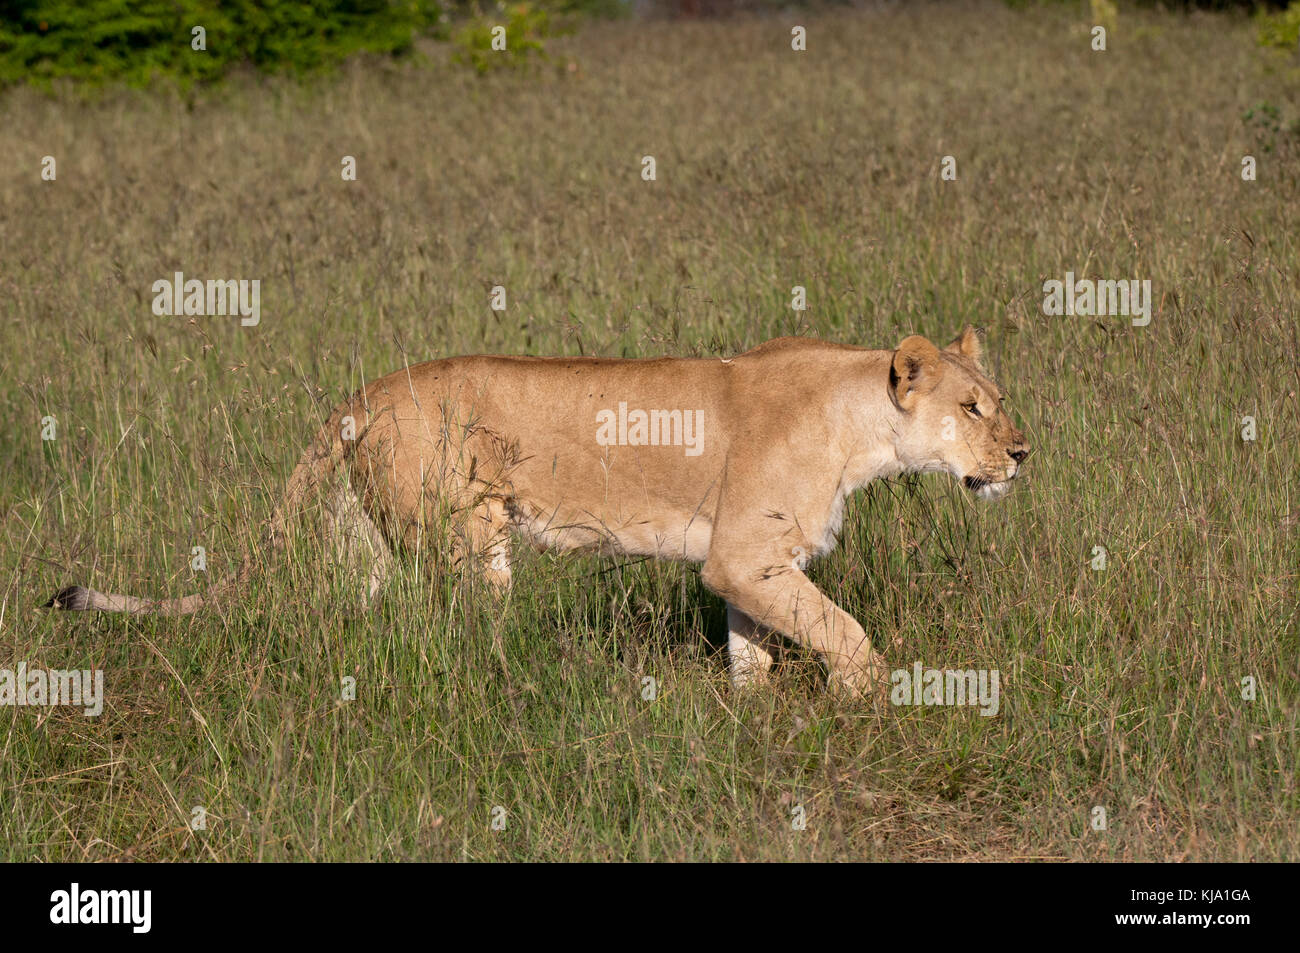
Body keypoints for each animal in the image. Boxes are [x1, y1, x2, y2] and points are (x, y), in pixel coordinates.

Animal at [44, 326, 1029, 696]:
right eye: (973, 408)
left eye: (997, 400)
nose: (1022, 454)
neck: (860, 424)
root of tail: (363, 392)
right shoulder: (742, 555)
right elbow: (845, 632)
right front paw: (869, 703)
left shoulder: (749, 566)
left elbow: (752, 647)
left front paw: (754, 721)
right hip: (466, 532)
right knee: (460, 628)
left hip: (370, 544)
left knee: (358, 617)